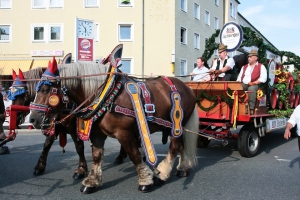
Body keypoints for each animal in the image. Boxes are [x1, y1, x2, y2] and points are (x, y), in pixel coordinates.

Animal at [29, 58, 199, 193]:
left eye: (45, 89)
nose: (33, 119)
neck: (106, 96)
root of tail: (187, 87)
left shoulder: (124, 133)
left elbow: (134, 155)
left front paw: (145, 180)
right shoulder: (97, 134)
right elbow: (97, 156)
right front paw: (92, 182)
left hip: (176, 125)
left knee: (175, 146)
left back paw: (163, 174)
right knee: (182, 146)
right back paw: (183, 168)